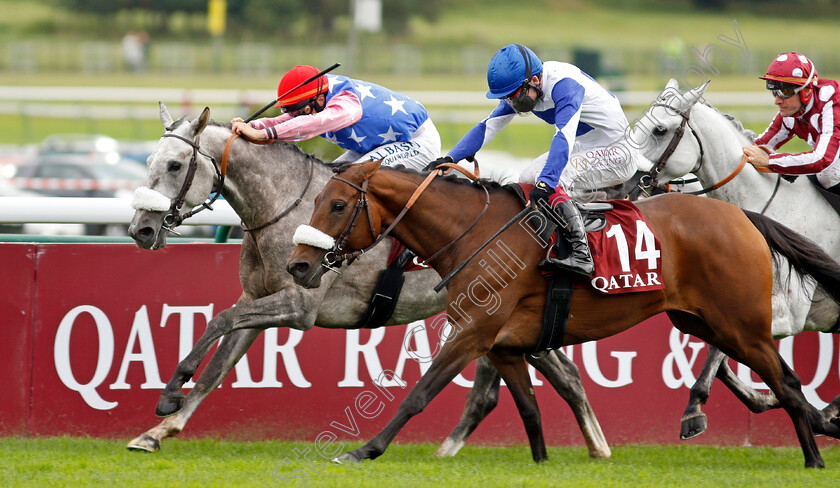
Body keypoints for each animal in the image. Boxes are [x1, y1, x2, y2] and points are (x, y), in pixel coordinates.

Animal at [124, 103, 612, 458]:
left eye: (174, 165)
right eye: (147, 161)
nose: (140, 230)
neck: (284, 203)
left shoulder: (299, 306)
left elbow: (219, 321)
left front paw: (170, 393)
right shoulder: (258, 298)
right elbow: (218, 364)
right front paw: (158, 431)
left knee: (543, 379)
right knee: (564, 375)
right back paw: (596, 448)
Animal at [288, 159, 840, 466]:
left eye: (338, 206)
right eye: (315, 200)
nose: (297, 265)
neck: (471, 231)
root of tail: (740, 214)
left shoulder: (471, 333)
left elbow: (418, 395)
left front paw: (364, 449)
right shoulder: (504, 345)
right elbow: (528, 407)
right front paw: (542, 461)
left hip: (741, 324)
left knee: (787, 382)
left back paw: (813, 457)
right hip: (702, 320)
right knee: (766, 378)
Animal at [632, 79, 840, 438]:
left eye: (660, 129)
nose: (627, 180)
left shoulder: (788, 312)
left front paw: (694, 409)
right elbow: (724, 358)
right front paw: (779, 401)